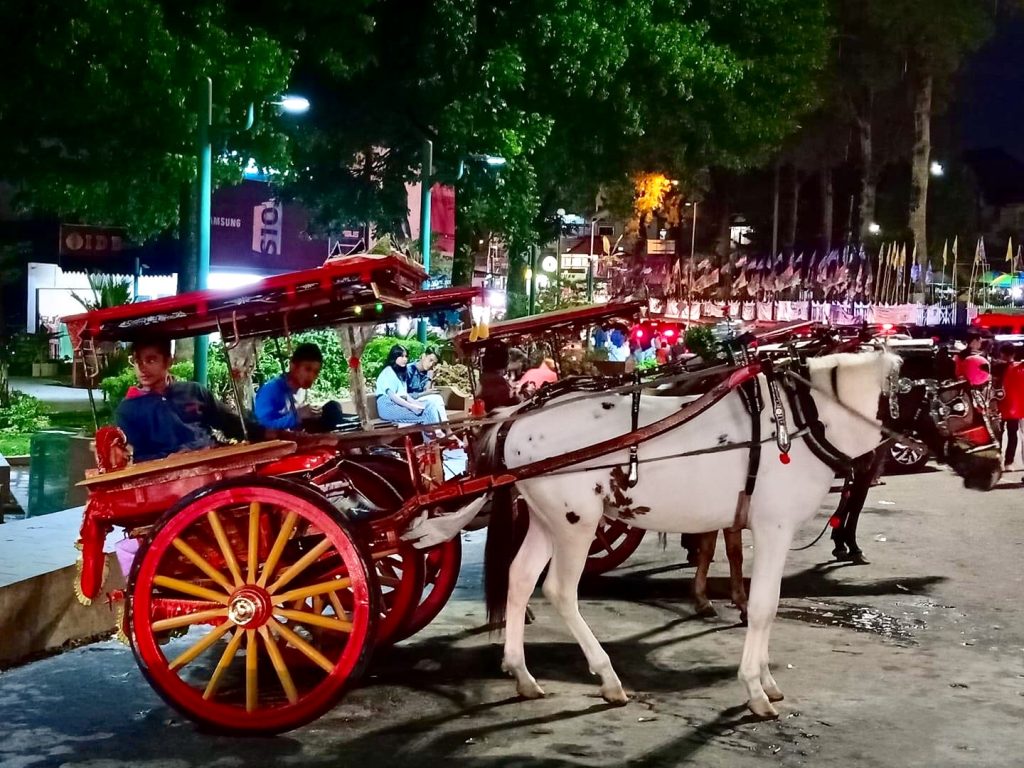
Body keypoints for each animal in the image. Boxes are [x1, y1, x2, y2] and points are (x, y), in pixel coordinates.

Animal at [475, 352, 901, 720]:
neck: (800, 417)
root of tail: (516, 418)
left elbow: (763, 599)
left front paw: (765, 678)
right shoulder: (773, 529)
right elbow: (763, 607)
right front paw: (755, 688)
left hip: (546, 520)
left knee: (520, 578)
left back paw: (522, 673)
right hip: (576, 524)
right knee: (560, 591)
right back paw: (608, 678)